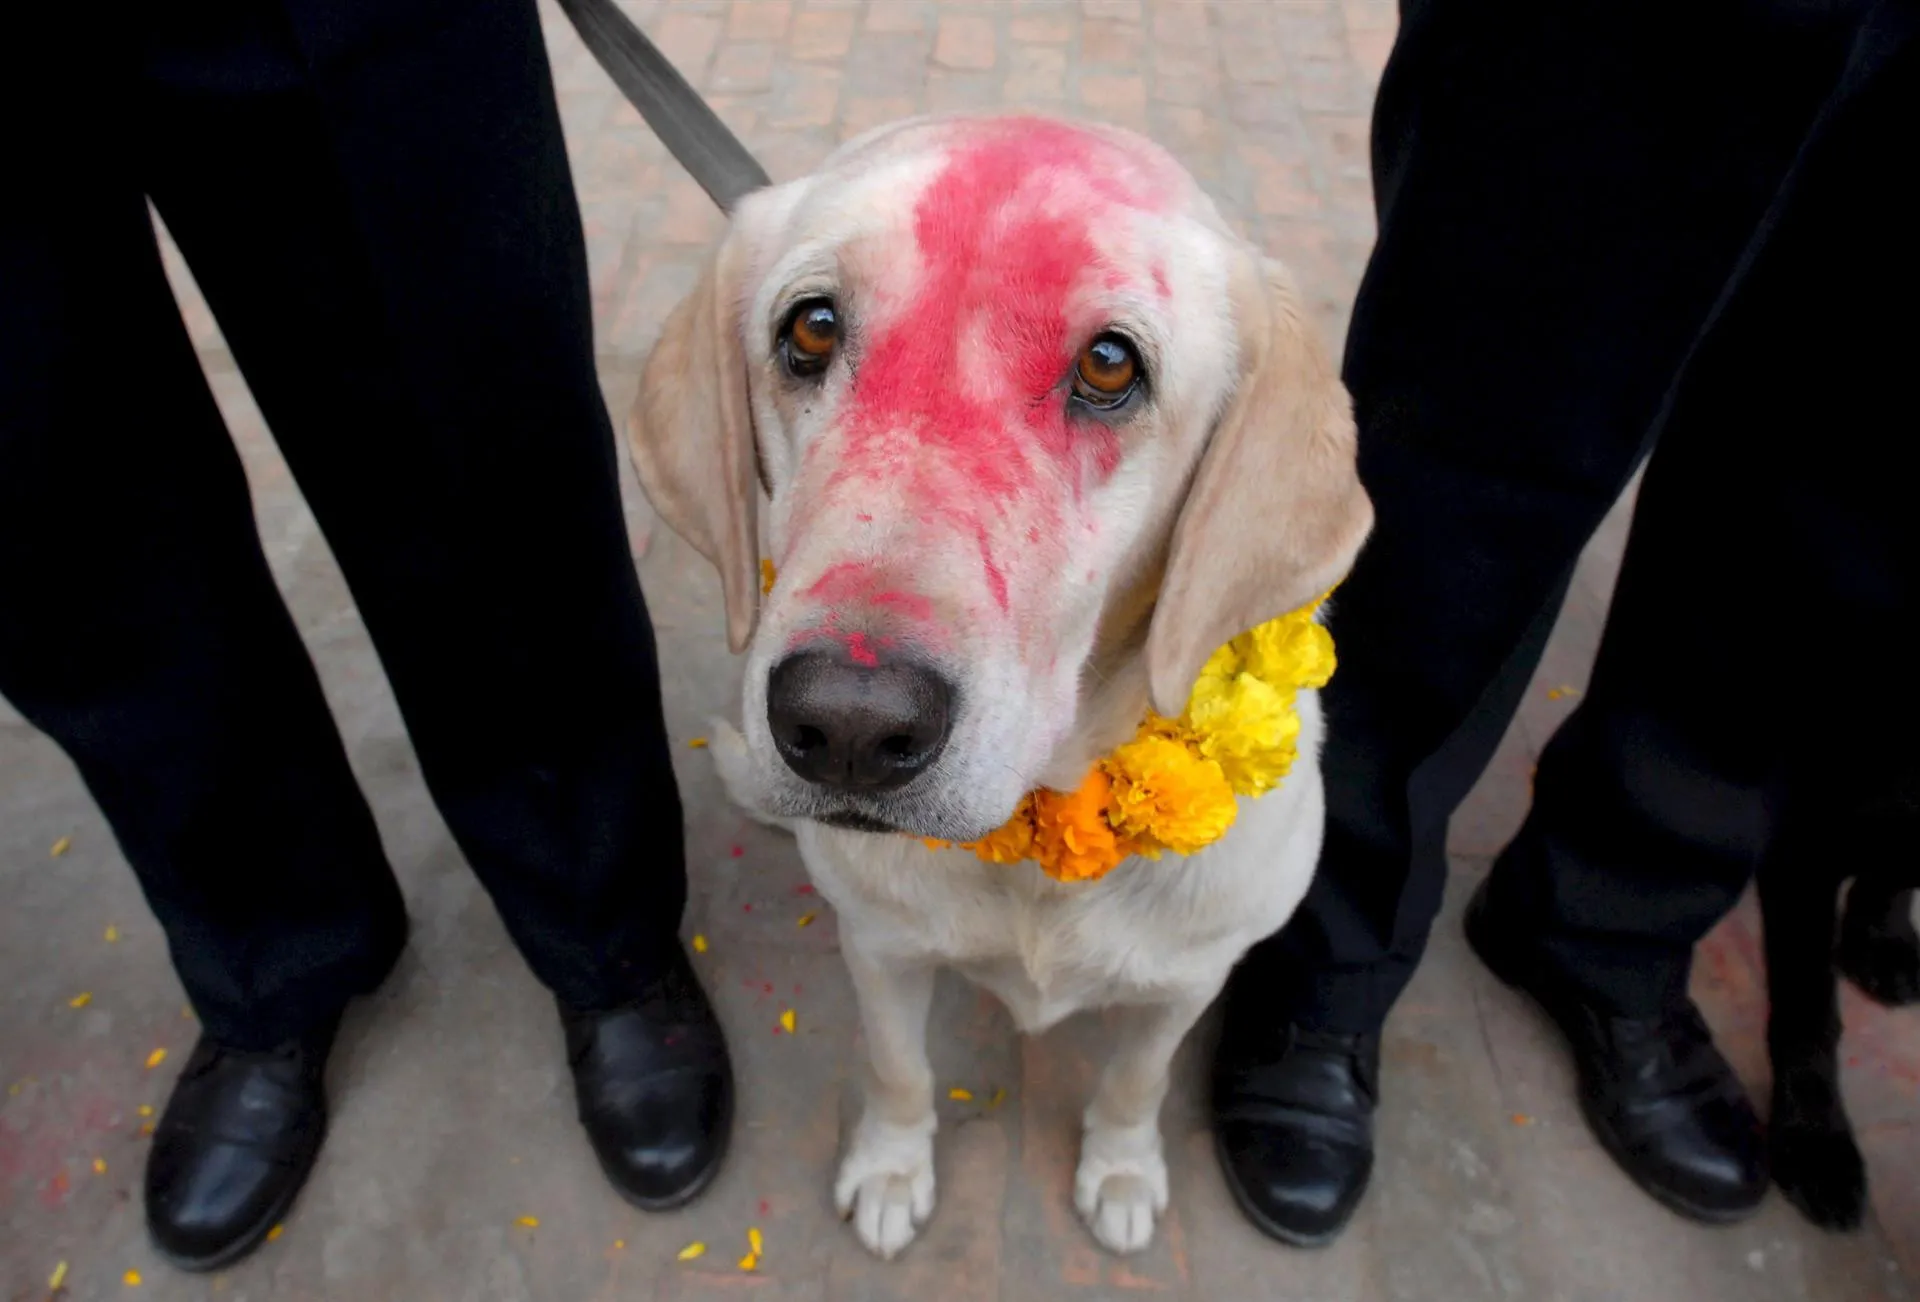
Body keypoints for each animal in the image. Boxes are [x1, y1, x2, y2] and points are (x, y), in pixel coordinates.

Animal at [625, 114, 1367, 1267]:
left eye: (1109, 363)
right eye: (811, 330)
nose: (845, 724)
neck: (1041, 842)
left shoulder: (1188, 981)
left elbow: (1136, 1082)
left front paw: (1122, 1171)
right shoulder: (880, 950)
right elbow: (897, 1070)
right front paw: (891, 1168)